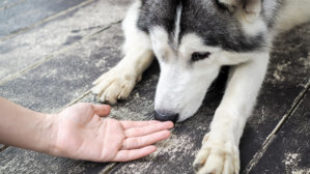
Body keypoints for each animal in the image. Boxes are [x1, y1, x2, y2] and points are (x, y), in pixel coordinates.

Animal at [92, 0, 310, 173]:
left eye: (200, 55)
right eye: (159, 50)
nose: (163, 116)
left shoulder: (256, 47)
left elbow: (231, 106)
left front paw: (220, 149)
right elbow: (141, 46)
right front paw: (119, 75)